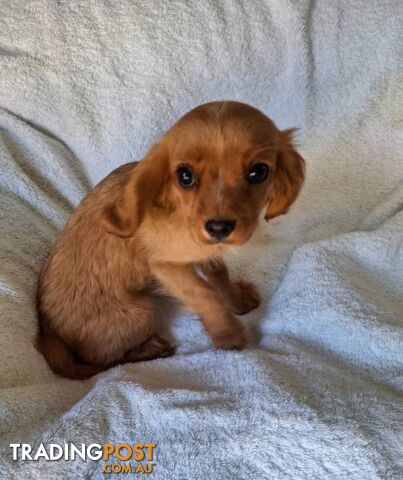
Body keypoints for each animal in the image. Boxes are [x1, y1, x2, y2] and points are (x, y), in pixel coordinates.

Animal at [35, 101, 306, 378]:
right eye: (185, 176)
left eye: (258, 172)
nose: (219, 228)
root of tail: (48, 331)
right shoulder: (165, 265)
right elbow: (203, 293)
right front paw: (226, 333)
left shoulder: (205, 251)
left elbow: (219, 274)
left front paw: (235, 300)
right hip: (141, 312)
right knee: (102, 359)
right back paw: (150, 349)